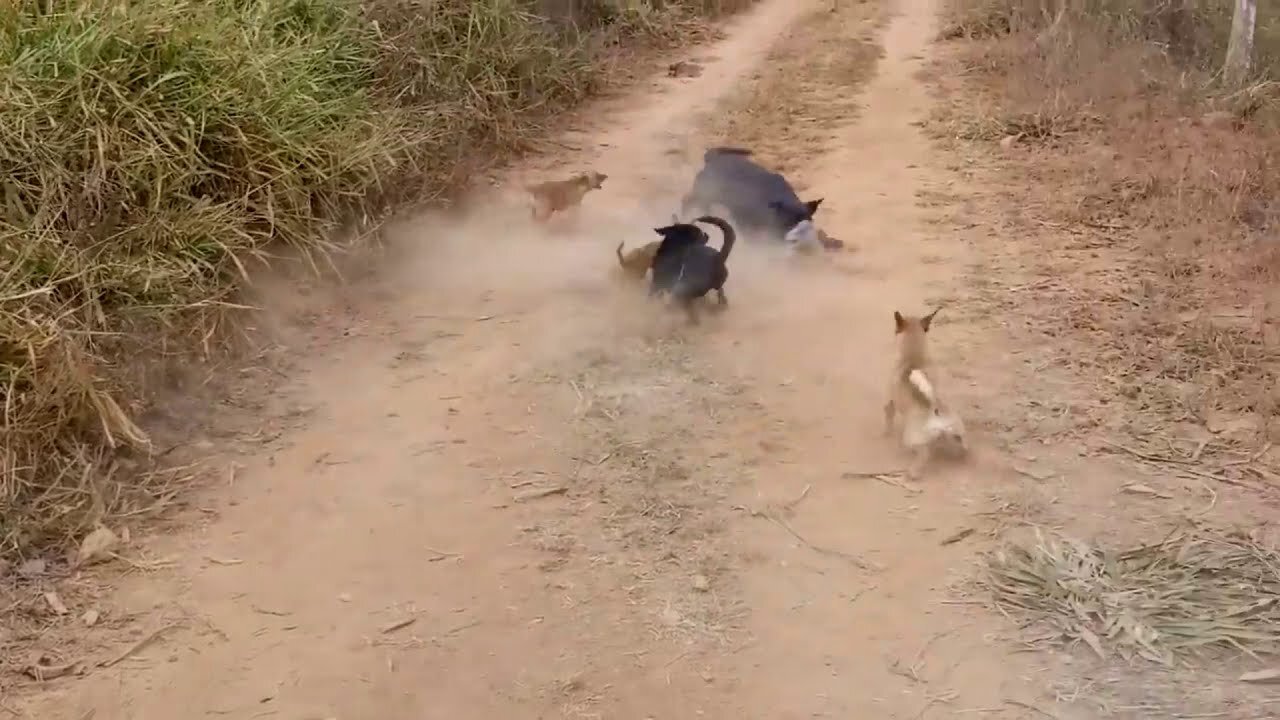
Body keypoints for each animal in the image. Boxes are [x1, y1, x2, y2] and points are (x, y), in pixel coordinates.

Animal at [885, 307, 962, 479]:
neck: (913, 353)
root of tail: (934, 408)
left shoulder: (890, 401)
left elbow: (888, 417)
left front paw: (886, 433)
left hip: (912, 439)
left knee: (924, 453)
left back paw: (913, 473)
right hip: (956, 430)